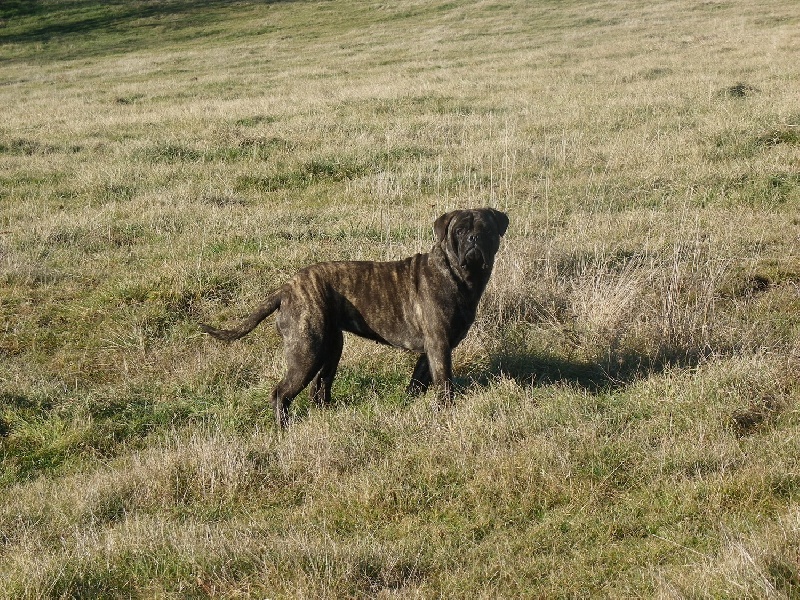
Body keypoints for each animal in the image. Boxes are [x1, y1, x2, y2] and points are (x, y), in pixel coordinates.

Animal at [200, 207, 508, 428]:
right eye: (460, 231)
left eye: (486, 229)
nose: (474, 239)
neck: (459, 276)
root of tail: (286, 288)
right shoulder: (440, 345)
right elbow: (444, 383)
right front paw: (446, 411)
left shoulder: (431, 349)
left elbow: (419, 380)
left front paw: (411, 403)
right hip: (306, 353)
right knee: (281, 393)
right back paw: (284, 428)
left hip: (330, 348)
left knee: (320, 387)